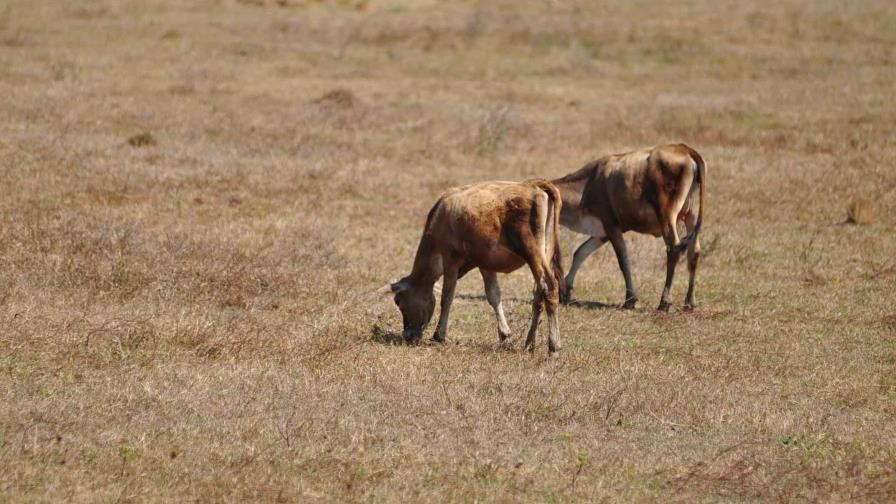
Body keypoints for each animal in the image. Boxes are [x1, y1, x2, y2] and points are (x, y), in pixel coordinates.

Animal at [380, 179, 568, 356]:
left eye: (398, 301)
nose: (407, 335)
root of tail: (532, 186)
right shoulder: (486, 263)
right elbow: (494, 295)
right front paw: (504, 335)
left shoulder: (451, 259)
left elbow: (447, 297)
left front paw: (438, 335)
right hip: (544, 252)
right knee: (538, 295)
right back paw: (529, 343)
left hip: (532, 252)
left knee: (548, 288)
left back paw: (554, 346)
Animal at [552, 144, 708, 312]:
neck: (588, 184)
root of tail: (684, 148)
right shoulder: (602, 232)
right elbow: (581, 252)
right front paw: (565, 291)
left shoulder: (611, 225)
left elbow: (623, 260)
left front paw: (630, 299)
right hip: (691, 214)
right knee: (694, 252)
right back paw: (690, 301)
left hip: (667, 215)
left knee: (673, 248)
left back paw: (664, 302)